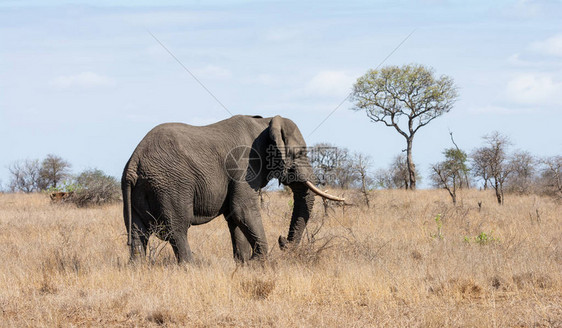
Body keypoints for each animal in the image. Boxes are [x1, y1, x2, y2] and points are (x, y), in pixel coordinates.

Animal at [120, 115, 344, 264]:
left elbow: (235, 218)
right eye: (300, 154)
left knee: (137, 232)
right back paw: (190, 267)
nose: (283, 242)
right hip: (171, 185)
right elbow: (242, 210)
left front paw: (243, 264)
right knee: (178, 229)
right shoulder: (244, 167)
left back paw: (138, 268)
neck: (265, 123)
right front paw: (259, 264)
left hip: (136, 188)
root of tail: (135, 161)